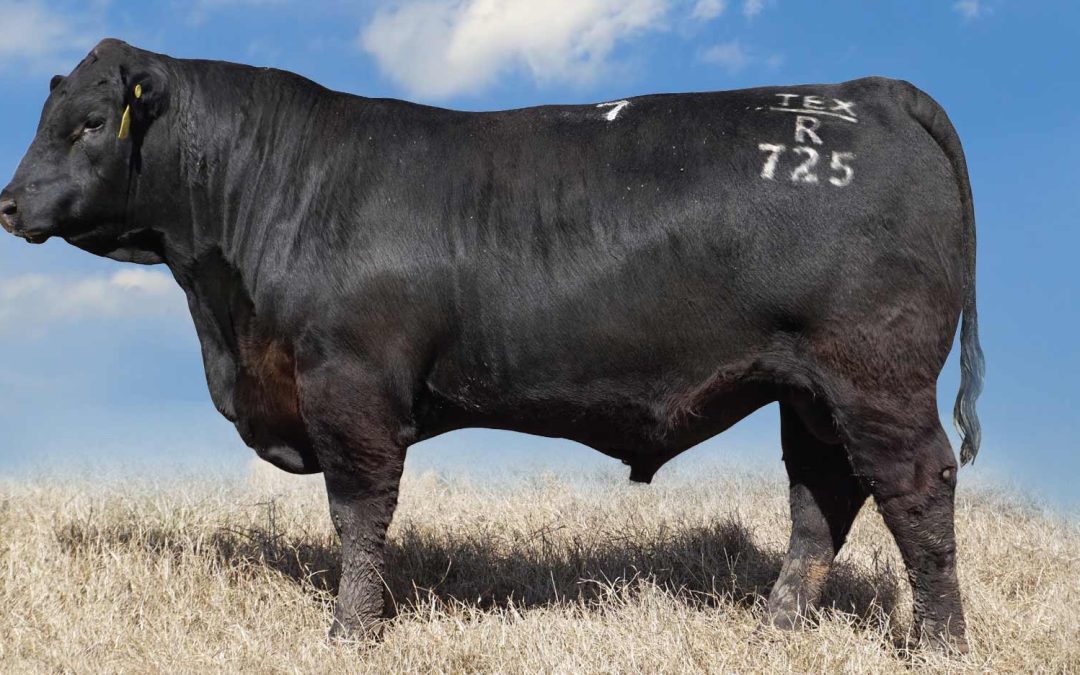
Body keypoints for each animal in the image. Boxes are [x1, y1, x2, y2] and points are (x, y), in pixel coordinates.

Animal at [1, 39, 984, 650]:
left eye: (88, 124)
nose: (7, 203)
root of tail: (864, 90)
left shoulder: (351, 384)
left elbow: (359, 516)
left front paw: (350, 631)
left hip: (876, 374)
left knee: (915, 488)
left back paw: (939, 642)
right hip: (808, 389)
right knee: (822, 498)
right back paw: (776, 628)